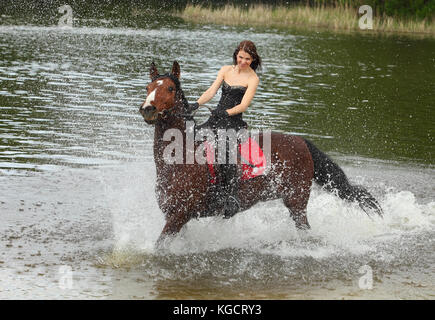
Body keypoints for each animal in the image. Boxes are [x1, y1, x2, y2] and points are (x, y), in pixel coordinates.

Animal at [140, 60, 382, 245]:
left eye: (170, 89)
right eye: (148, 87)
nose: (148, 109)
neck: (181, 158)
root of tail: (301, 141)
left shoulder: (180, 215)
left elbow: (158, 246)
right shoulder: (174, 216)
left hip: (296, 201)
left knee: (304, 229)